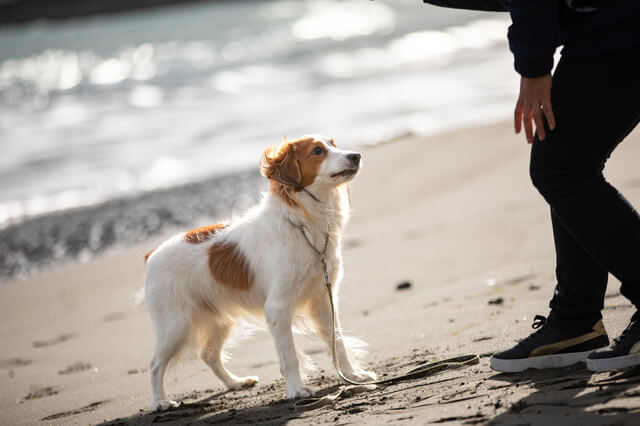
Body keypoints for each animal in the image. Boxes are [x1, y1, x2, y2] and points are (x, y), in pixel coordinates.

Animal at [141, 135, 376, 412]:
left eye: (334, 144)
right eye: (318, 150)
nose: (356, 156)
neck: (301, 224)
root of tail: (151, 254)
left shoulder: (323, 300)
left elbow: (337, 343)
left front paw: (352, 376)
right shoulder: (277, 307)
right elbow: (290, 355)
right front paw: (297, 390)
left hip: (220, 318)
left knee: (208, 354)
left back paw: (235, 383)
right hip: (176, 325)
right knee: (155, 364)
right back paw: (160, 402)